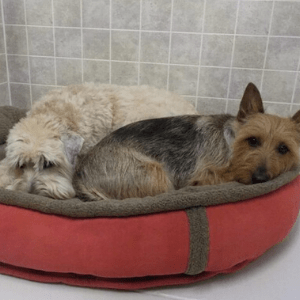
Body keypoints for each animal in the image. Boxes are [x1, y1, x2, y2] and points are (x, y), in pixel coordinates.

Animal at [73, 83, 300, 200]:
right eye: (253, 140)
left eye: (283, 148)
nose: (260, 178)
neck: (231, 144)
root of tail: (82, 176)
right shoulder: (204, 177)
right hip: (155, 175)